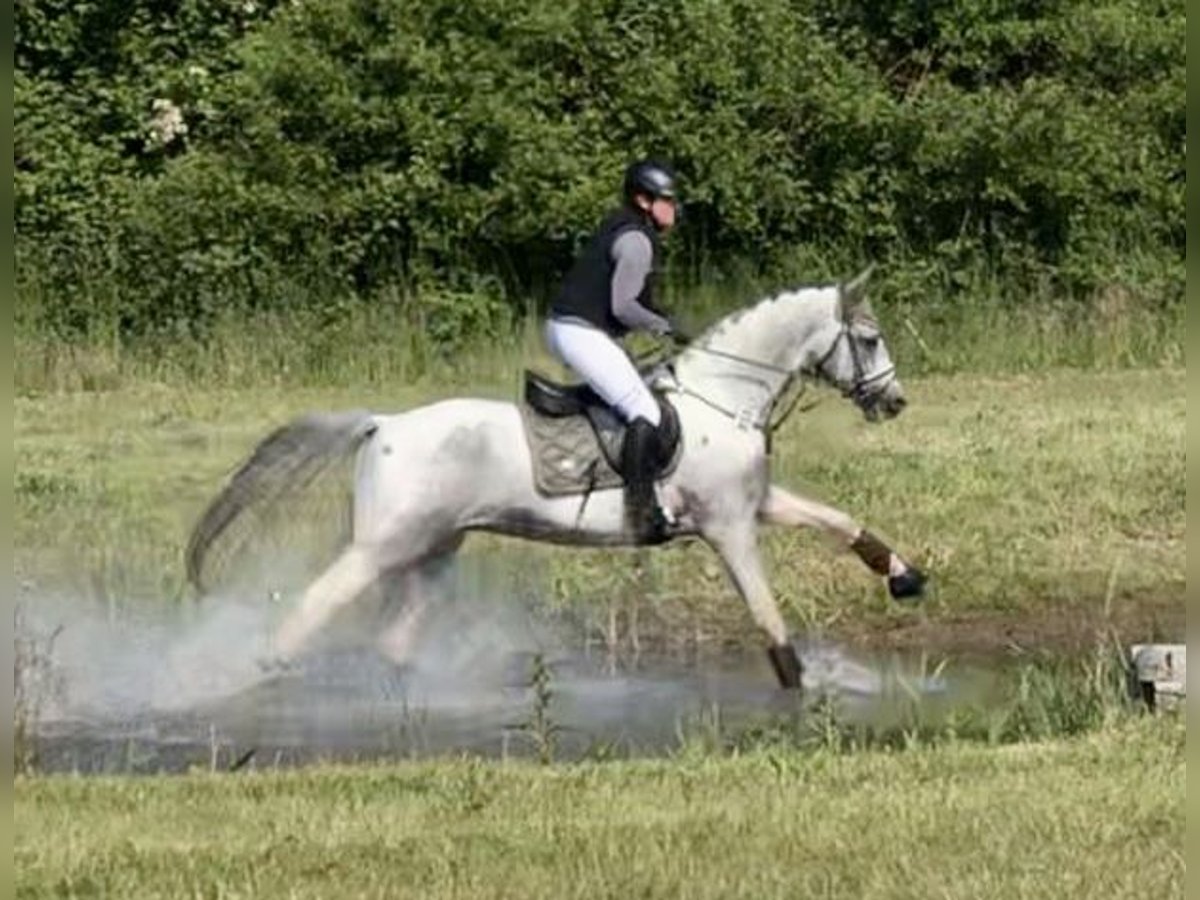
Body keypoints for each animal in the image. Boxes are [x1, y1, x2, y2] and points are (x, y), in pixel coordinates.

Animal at [187, 267, 921, 691]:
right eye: (870, 339)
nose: (894, 403)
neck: (725, 395)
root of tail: (380, 423)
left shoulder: (754, 504)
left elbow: (840, 521)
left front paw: (905, 576)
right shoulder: (728, 527)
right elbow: (768, 616)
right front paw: (800, 685)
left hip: (433, 549)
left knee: (394, 637)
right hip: (381, 549)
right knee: (311, 608)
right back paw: (262, 676)